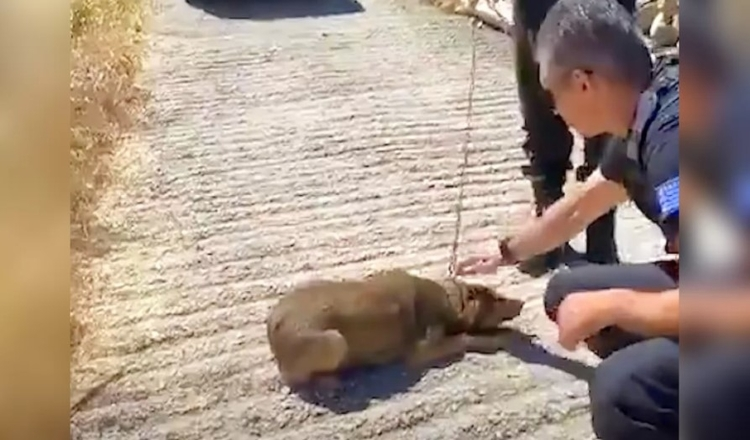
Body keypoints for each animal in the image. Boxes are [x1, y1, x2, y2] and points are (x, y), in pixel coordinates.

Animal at [268, 270, 524, 386]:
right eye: (498, 298)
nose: (522, 302)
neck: (452, 301)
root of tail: (272, 327)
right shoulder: (421, 349)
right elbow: (466, 337)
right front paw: (499, 339)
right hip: (334, 340)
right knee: (295, 377)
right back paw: (330, 380)